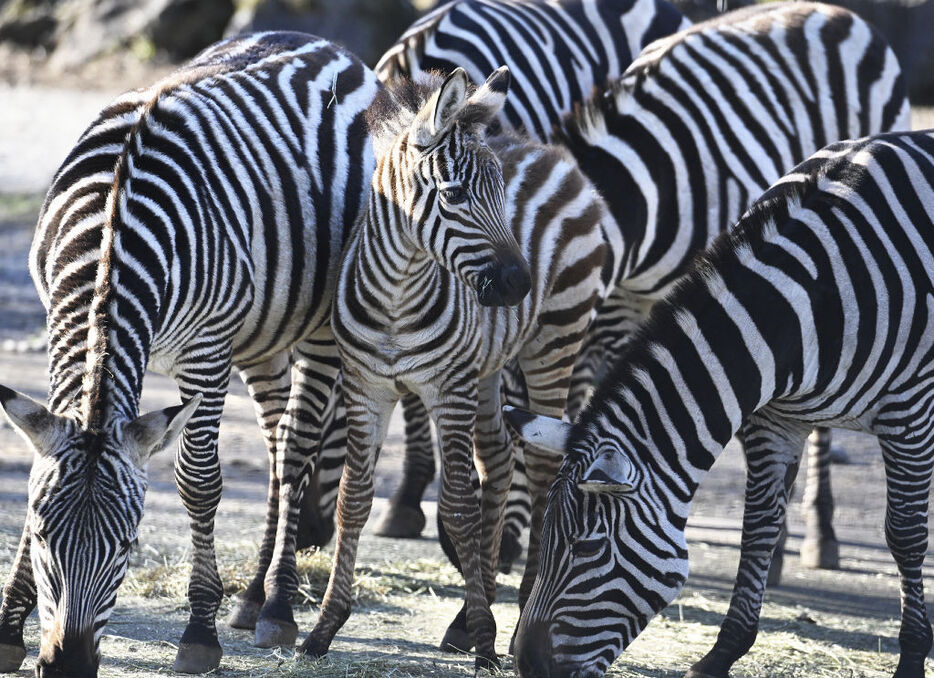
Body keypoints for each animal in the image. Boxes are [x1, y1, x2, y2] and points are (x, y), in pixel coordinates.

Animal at [0, 33, 384, 678]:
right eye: (44, 532)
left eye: (128, 545)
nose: (70, 665)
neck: (113, 227)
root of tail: (322, 43)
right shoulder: (57, 316)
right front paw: (10, 624)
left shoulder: (205, 350)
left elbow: (198, 481)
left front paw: (199, 633)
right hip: (260, 340)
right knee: (278, 447)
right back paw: (251, 599)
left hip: (323, 328)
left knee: (298, 448)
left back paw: (278, 606)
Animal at [302, 66, 616, 672]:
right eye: (454, 194)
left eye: (500, 196)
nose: (519, 285)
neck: (396, 297)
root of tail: (548, 151)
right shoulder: (367, 387)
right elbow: (355, 498)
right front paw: (324, 627)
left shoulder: (447, 389)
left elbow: (458, 506)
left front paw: (488, 641)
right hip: (489, 366)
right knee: (498, 461)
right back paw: (470, 615)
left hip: (554, 341)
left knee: (540, 470)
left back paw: (518, 611)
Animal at [508, 129, 934, 678]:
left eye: (587, 546)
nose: (527, 666)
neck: (804, 300)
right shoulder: (775, 421)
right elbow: (758, 531)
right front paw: (720, 654)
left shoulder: (910, 411)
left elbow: (904, 534)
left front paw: (912, 658)